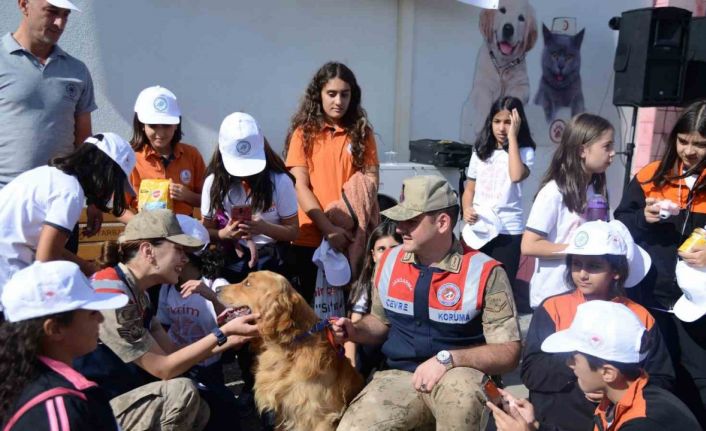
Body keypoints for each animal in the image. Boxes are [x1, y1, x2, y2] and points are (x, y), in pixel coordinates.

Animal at [460, 0, 536, 143]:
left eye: (521, 18)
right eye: (502, 10)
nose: (508, 28)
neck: (502, 64)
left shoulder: (523, 86)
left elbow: (516, 96)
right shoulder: (482, 84)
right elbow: (483, 99)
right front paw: (478, 123)